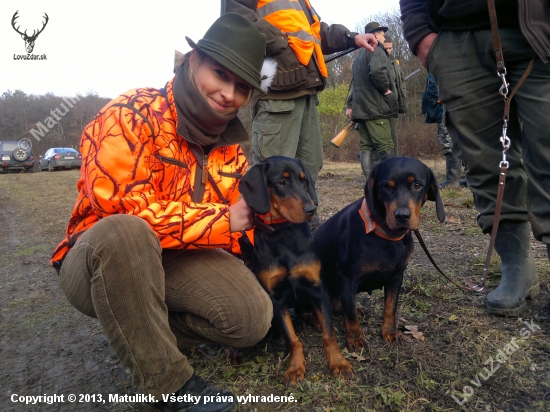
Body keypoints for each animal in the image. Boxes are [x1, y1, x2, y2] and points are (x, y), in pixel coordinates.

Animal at [240, 156, 354, 388]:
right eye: (281, 183)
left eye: (303, 181)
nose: (312, 209)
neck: (283, 237)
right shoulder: (276, 298)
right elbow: (292, 339)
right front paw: (294, 367)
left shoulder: (317, 289)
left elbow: (329, 334)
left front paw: (338, 363)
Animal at [312, 156, 446, 350]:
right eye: (387, 187)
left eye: (417, 185)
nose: (402, 216)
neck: (385, 236)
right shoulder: (347, 279)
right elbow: (350, 316)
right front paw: (355, 339)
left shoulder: (396, 277)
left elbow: (390, 308)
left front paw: (389, 333)